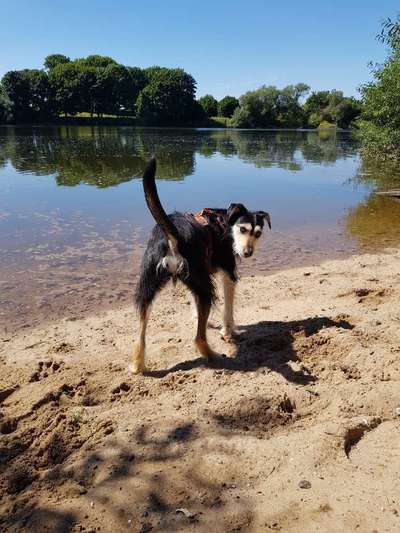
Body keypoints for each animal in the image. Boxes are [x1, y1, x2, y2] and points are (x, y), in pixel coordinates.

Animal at [133, 157, 270, 374]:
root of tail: (172, 236)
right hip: (205, 290)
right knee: (198, 338)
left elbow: (195, 306)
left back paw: (138, 364)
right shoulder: (229, 275)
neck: (224, 224)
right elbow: (228, 311)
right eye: (242, 229)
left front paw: (198, 318)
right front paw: (228, 331)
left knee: (141, 336)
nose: (248, 253)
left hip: (148, 287)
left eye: (258, 234)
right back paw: (212, 355)